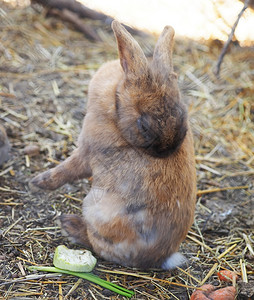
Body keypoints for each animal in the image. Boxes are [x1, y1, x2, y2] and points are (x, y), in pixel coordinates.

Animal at [30, 21, 196, 270]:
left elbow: (65, 170)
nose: (167, 151)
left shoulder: (86, 152)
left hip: (95, 209)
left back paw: (69, 225)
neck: (115, 102)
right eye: (143, 125)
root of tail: (161, 257)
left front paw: (37, 182)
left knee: (97, 245)